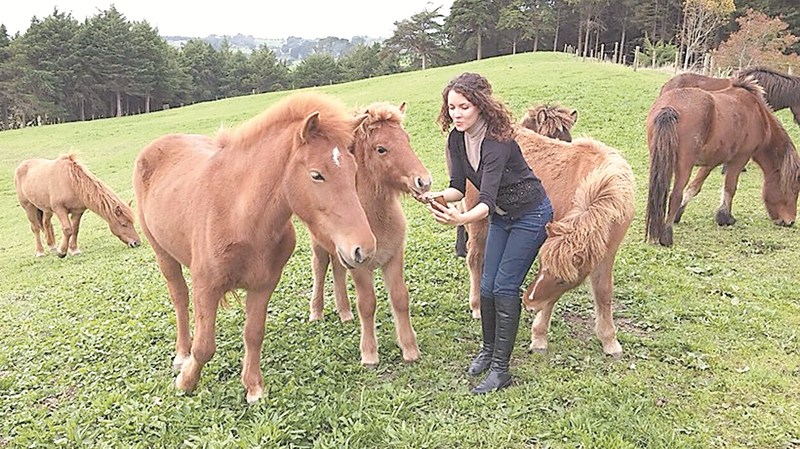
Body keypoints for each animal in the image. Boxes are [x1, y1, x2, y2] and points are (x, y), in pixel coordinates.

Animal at [133, 92, 376, 402]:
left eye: (354, 169)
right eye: (316, 175)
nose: (363, 249)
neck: (240, 215)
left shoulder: (264, 284)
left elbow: (253, 333)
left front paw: (253, 387)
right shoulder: (206, 286)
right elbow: (204, 346)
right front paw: (186, 381)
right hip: (163, 253)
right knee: (179, 298)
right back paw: (181, 354)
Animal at [308, 103, 432, 366]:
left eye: (407, 139)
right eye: (381, 149)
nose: (424, 181)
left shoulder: (394, 256)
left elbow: (400, 298)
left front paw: (410, 349)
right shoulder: (361, 266)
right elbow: (367, 304)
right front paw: (369, 354)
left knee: (338, 270)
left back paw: (345, 312)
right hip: (319, 246)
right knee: (320, 269)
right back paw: (316, 312)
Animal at [460, 126, 636, 356]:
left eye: (562, 280)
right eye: (542, 265)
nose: (528, 303)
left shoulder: (606, 252)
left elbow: (604, 292)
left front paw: (610, 341)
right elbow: (550, 301)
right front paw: (539, 337)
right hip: (479, 222)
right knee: (475, 259)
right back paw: (477, 306)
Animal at [644, 76, 800, 245]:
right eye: (794, 190)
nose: (790, 221)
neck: (759, 114)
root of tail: (670, 107)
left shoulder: (712, 161)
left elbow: (694, 187)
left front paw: (680, 214)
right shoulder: (739, 159)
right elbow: (730, 188)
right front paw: (725, 217)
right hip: (684, 165)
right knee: (675, 195)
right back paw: (666, 236)